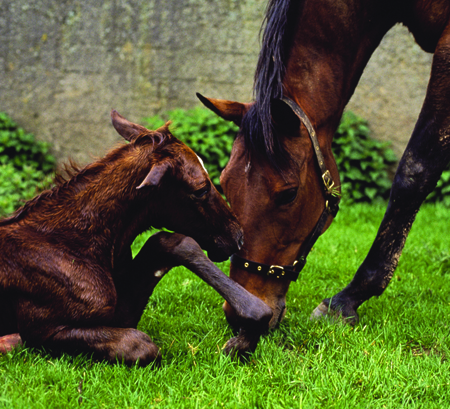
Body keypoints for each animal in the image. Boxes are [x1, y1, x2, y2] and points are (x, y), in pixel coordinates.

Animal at [0, 111, 270, 364]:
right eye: (201, 189)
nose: (237, 236)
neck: (81, 245)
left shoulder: (118, 314)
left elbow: (170, 241)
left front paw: (250, 329)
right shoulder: (41, 329)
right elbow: (142, 345)